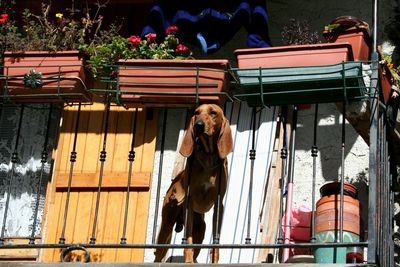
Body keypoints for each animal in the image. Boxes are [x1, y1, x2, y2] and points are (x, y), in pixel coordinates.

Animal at [154, 103, 234, 264]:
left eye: (213, 113)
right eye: (196, 113)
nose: (198, 125)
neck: (208, 156)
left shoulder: (218, 204)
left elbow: (215, 239)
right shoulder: (189, 204)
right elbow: (188, 240)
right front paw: (188, 260)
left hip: (201, 228)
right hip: (166, 225)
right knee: (158, 254)